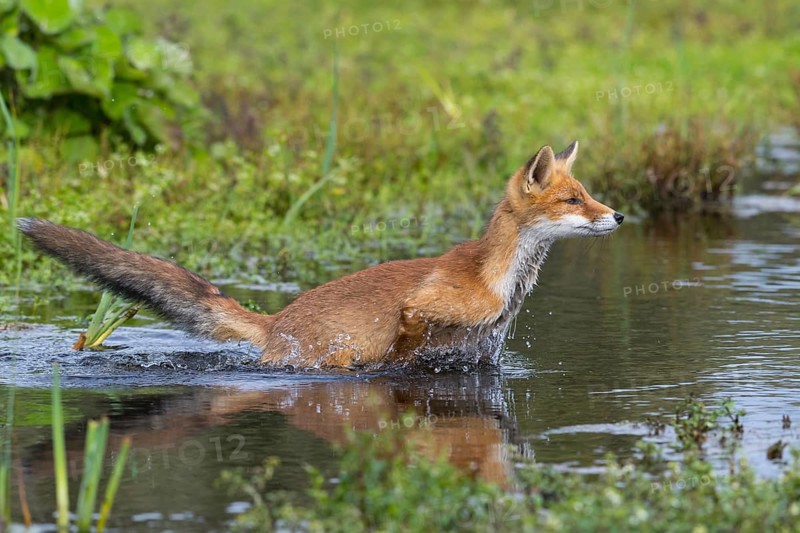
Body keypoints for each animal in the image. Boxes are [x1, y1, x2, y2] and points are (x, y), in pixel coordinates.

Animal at [18, 141, 623, 369]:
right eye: (573, 200)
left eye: (589, 194)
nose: (617, 217)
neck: (498, 278)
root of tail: (275, 320)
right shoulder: (421, 309)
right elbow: (402, 345)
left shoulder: (479, 350)